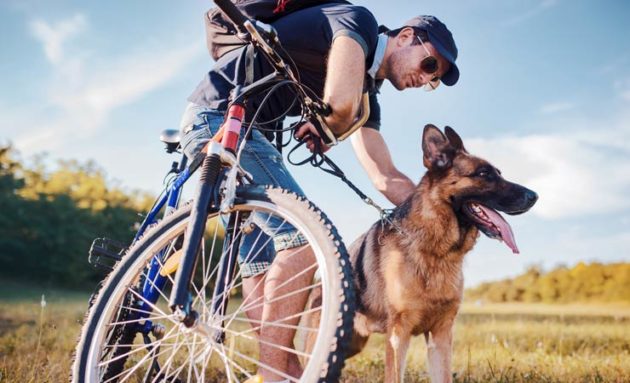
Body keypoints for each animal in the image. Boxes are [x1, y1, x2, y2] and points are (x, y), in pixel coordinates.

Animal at [308, 124, 540, 382]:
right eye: (483, 174)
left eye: (498, 173)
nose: (535, 196)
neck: (437, 251)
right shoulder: (398, 335)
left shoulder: (441, 335)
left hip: (352, 344)